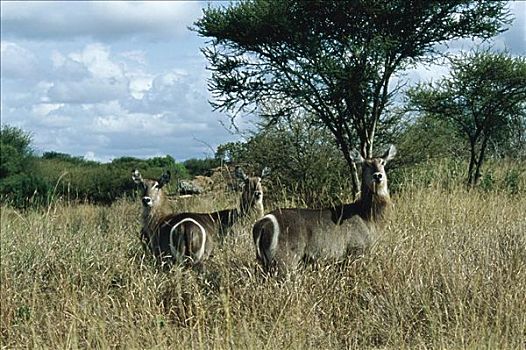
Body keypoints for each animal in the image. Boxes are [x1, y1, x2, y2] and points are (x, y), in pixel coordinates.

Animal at [254, 144, 398, 274]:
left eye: (382, 162)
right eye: (366, 164)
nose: (377, 175)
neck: (367, 216)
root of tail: (263, 222)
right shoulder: (356, 252)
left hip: (266, 263)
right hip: (285, 262)